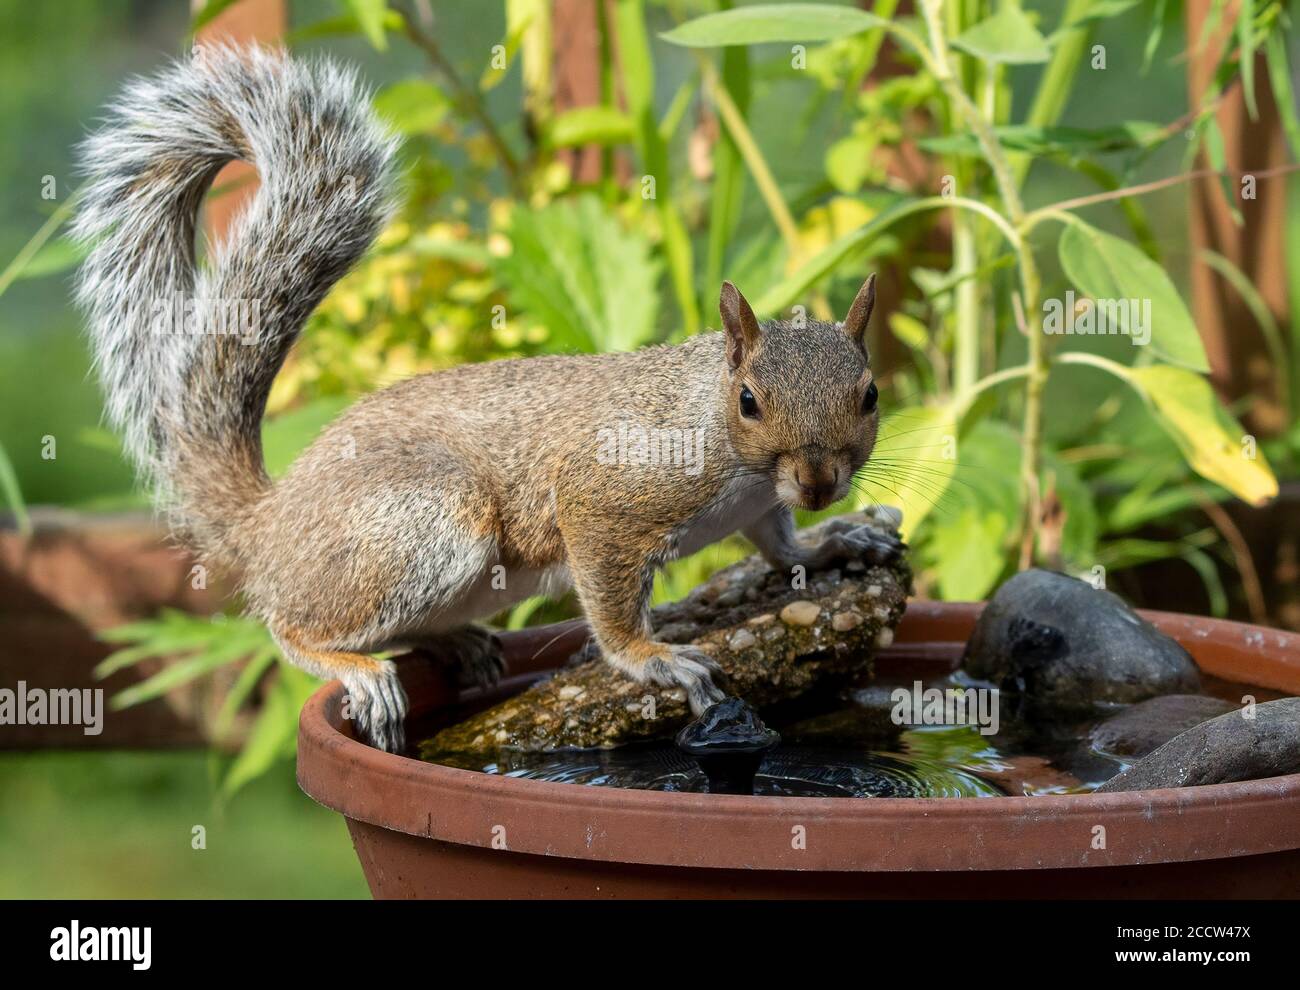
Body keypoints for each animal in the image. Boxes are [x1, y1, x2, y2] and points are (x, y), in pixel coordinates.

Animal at [73, 46, 904, 753]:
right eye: (749, 401)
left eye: (869, 393)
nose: (820, 483)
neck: (716, 432)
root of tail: (267, 522)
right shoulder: (606, 495)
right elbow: (609, 600)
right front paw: (653, 658)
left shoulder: (759, 506)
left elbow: (781, 543)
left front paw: (837, 541)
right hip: (430, 518)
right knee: (290, 624)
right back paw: (353, 666)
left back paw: (455, 642)